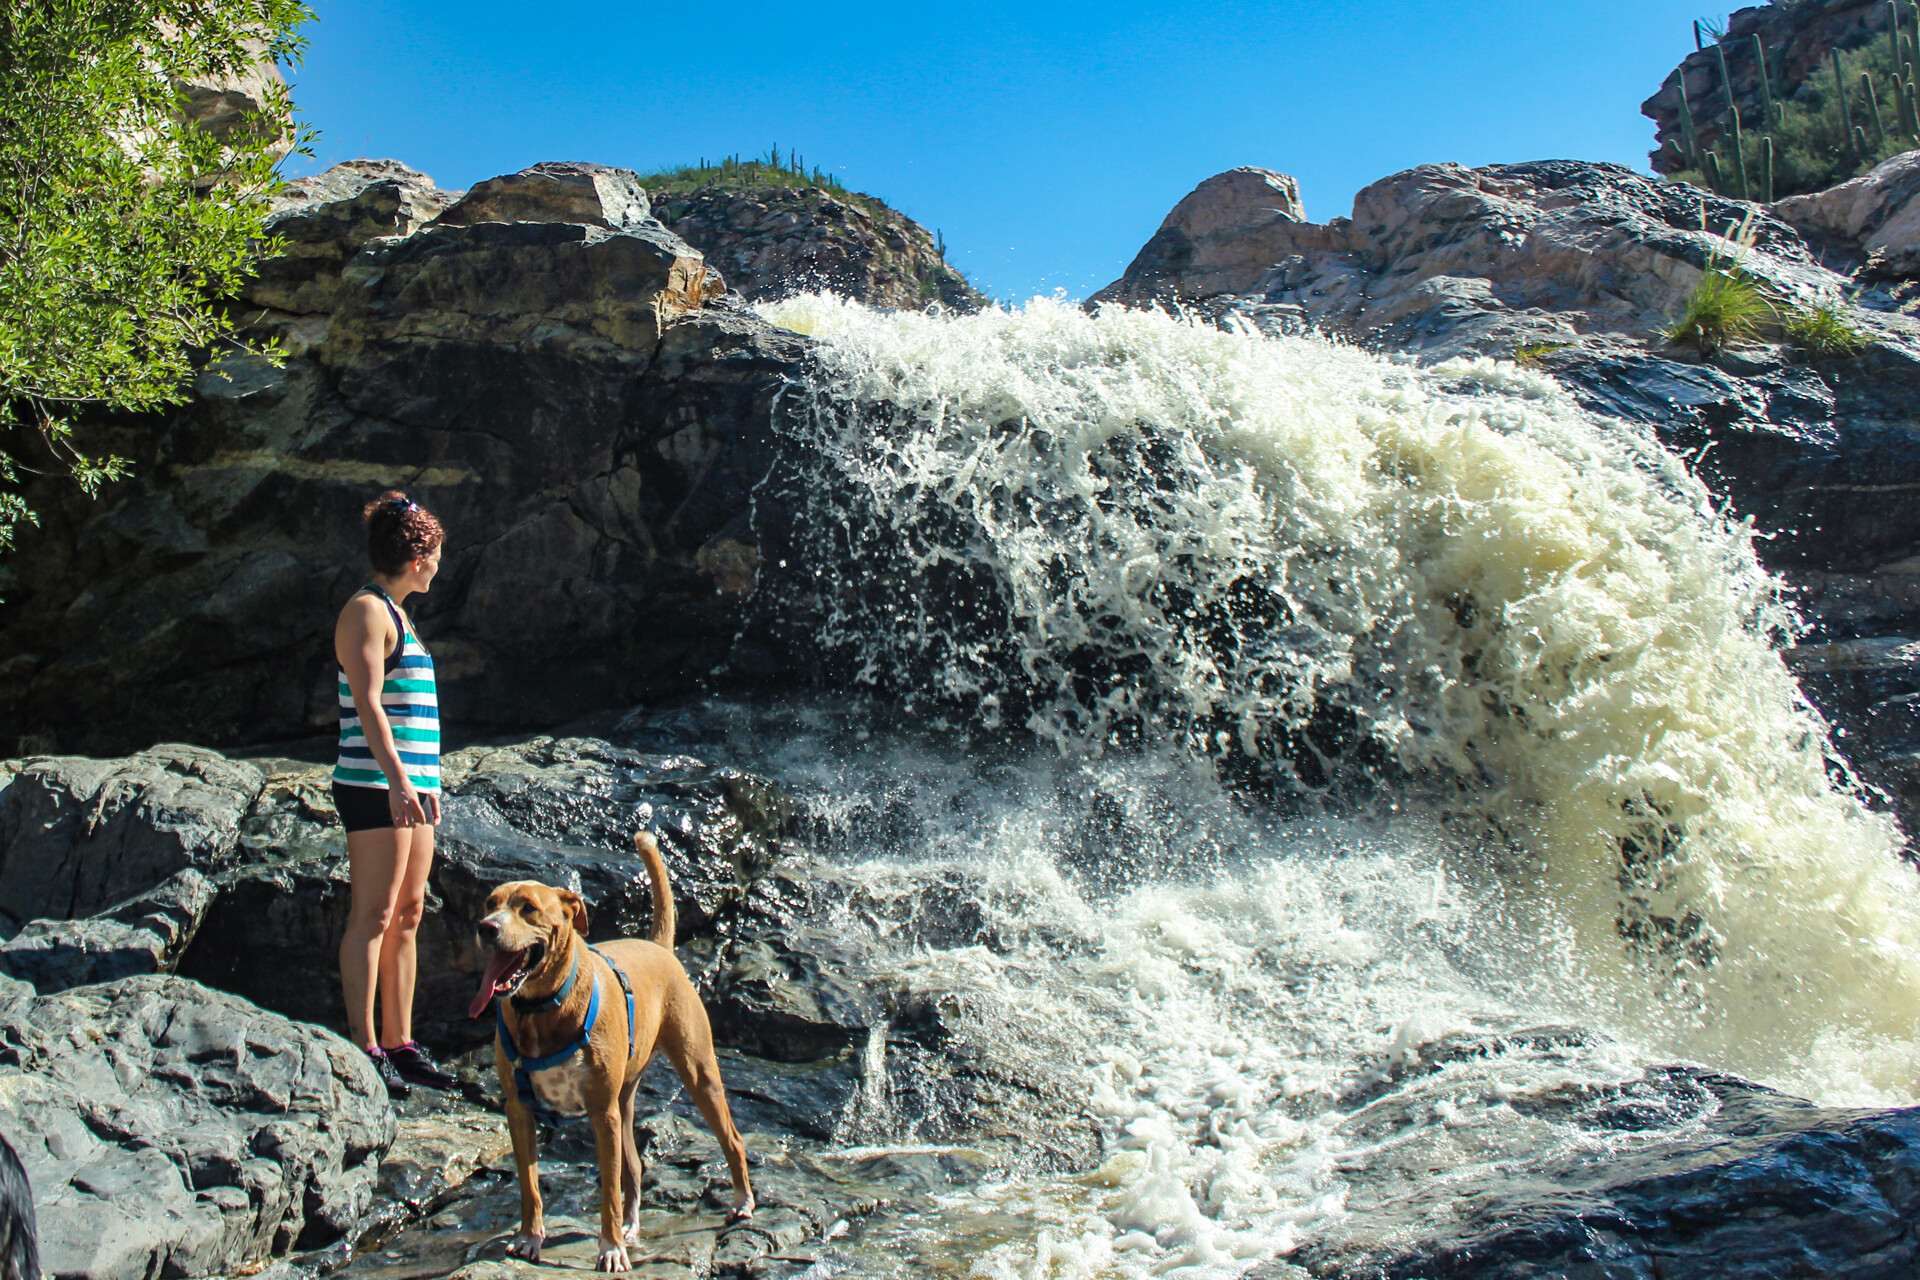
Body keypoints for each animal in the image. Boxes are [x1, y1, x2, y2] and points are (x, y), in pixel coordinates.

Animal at [472, 832, 756, 1274]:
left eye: (529, 908)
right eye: (490, 904)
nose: (487, 928)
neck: (543, 1007)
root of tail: (658, 947)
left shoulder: (600, 1112)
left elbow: (608, 1191)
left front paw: (609, 1250)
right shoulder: (519, 1108)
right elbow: (529, 1185)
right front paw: (529, 1238)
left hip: (698, 1073)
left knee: (733, 1140)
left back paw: (742, 1202)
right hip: (625, 1100)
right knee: (635, 1167)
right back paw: (632, 1228)